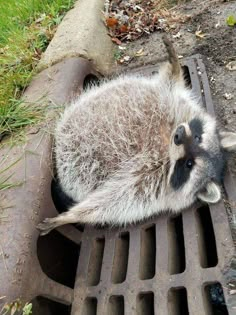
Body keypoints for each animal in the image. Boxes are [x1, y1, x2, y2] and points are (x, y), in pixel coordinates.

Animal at [37, 35, 236, 236]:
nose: (179, 135)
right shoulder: (175, 105)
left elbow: (111, 201)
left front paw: (72, 215)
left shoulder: (149, 185)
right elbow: (170, 83)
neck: (166, 146)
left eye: (189, 164)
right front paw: (175, 65)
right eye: (197, 138)